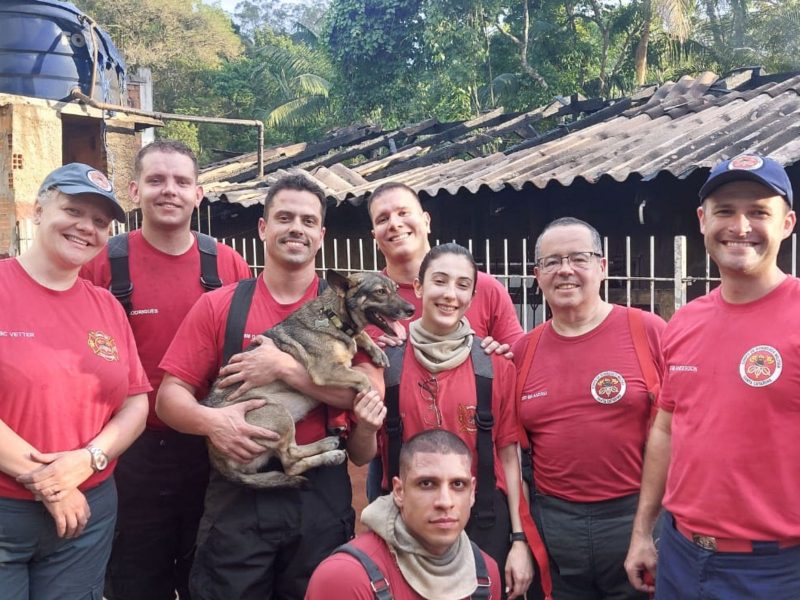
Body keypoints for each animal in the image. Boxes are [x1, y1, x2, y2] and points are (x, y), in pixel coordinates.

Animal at [202, 270, 412, 490]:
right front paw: (368, 396)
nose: (412, 310)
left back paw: (328, 449)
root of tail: (218, 460)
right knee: (289, 460)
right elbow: (363, 378)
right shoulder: (325, 370)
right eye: (380, 292)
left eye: (396, 289)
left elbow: (361, 337)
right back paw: (329, 452)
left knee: (291, 462)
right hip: (277, 413)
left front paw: (377, 351)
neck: (332, 317)